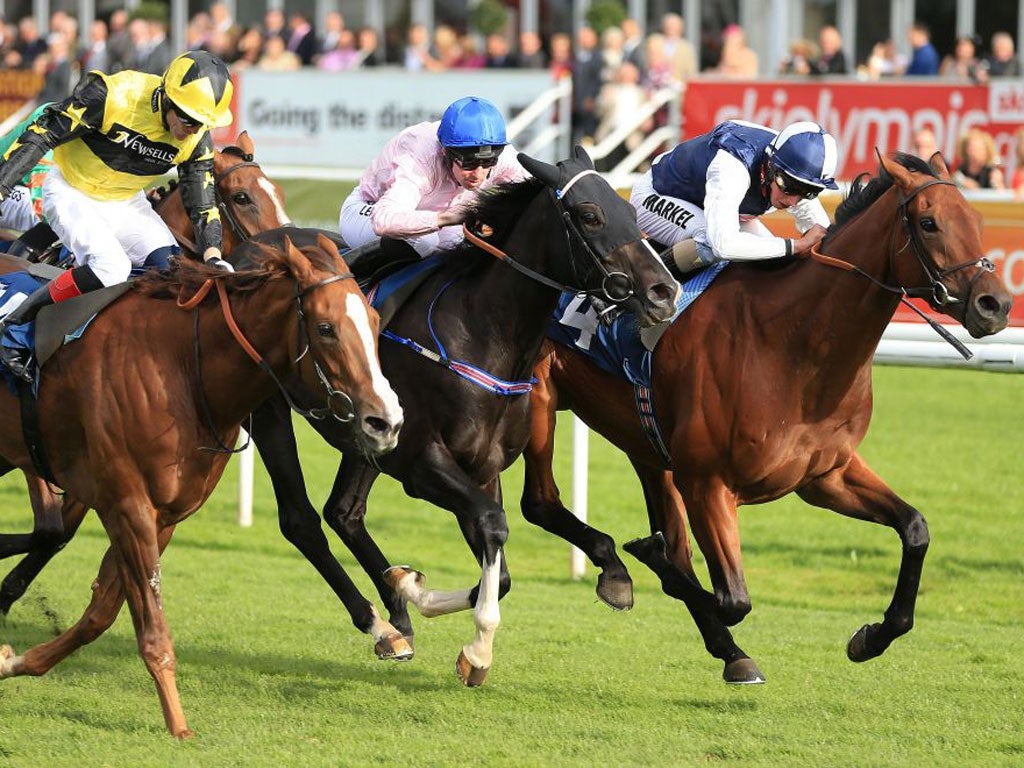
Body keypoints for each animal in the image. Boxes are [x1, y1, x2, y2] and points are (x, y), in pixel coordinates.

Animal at [0, 236, 403, 741]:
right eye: (326, 328)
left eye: (374, 322)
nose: (386, 422)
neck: (179, 370)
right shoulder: (127, 505)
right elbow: (150, 624)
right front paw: (178, 726)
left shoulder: (164, 514)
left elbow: (102, 613)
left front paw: (16, 661)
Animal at [243, 145, 684, 684]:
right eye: (589, 215)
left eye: (630, 212)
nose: (664, 291)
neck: (482, 334)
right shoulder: (422, 466)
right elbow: (494, 525)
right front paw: (475, 649)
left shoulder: (481, 467)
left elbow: (503, 569)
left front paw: (412, 588)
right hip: (269, 411)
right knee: (302, 520)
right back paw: (379, 621)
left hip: (368, 440)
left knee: (344, 513)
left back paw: (396, 617)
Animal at [520, 153, 1007, 684]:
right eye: (928, 222)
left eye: (977, 219)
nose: (996, 304)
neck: (790, 346)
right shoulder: (707, 483)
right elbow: (730, 598)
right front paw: (644, 558)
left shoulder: (825, 475)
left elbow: (915, 529)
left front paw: (871, 637)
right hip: (536, 402)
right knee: (539, 502)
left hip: (644, 442)